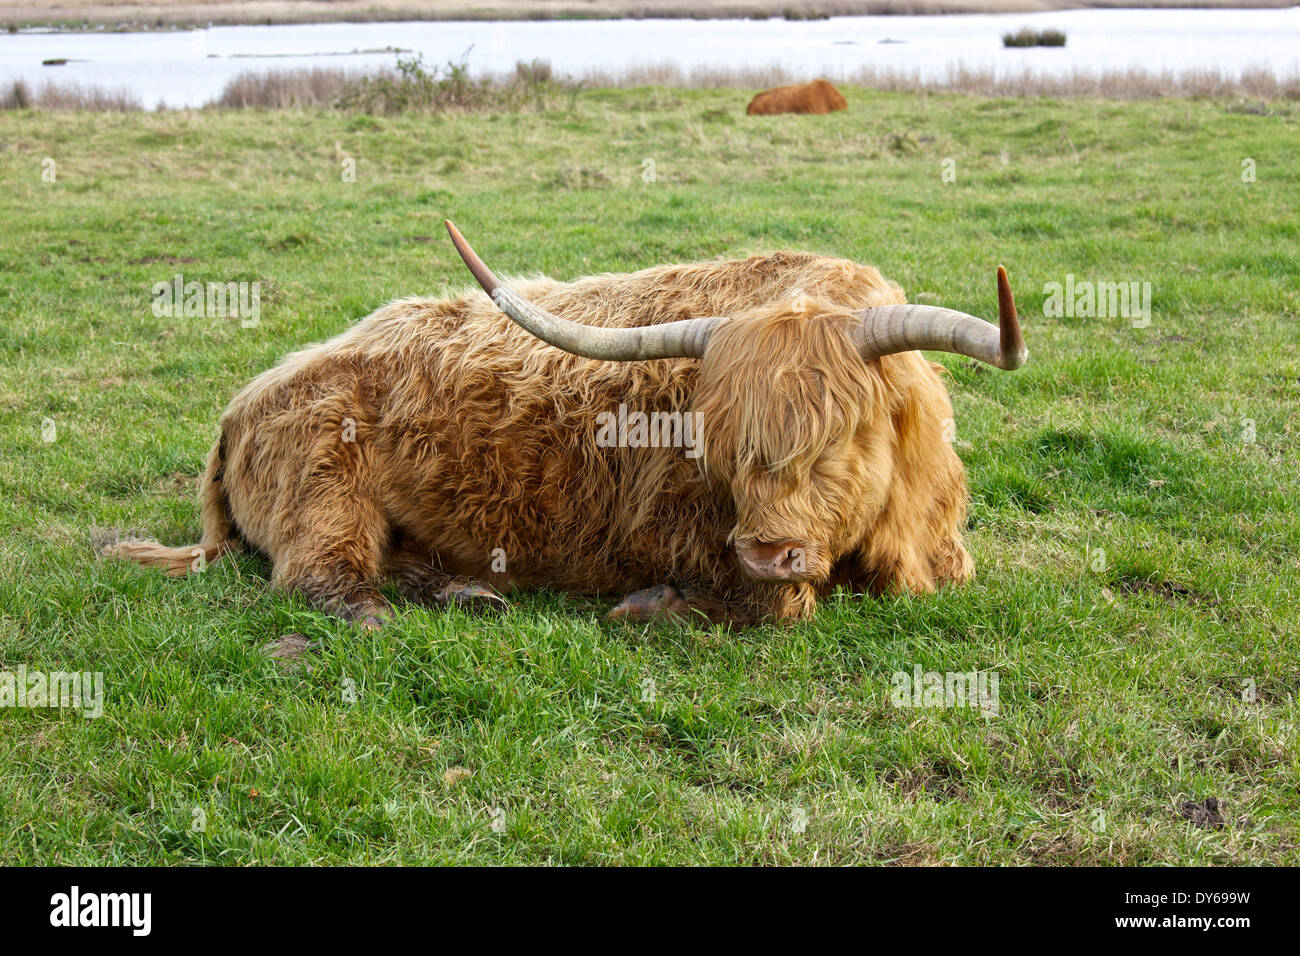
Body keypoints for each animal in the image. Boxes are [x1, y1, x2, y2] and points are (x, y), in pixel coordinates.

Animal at [106, 221, 1024, 632]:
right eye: (725, 449)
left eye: (843, 436)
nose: (769, 548)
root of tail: (246, 399)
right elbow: (777, 604)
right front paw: (655, 602)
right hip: (326, 496)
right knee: (323, 582)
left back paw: (468, 590)